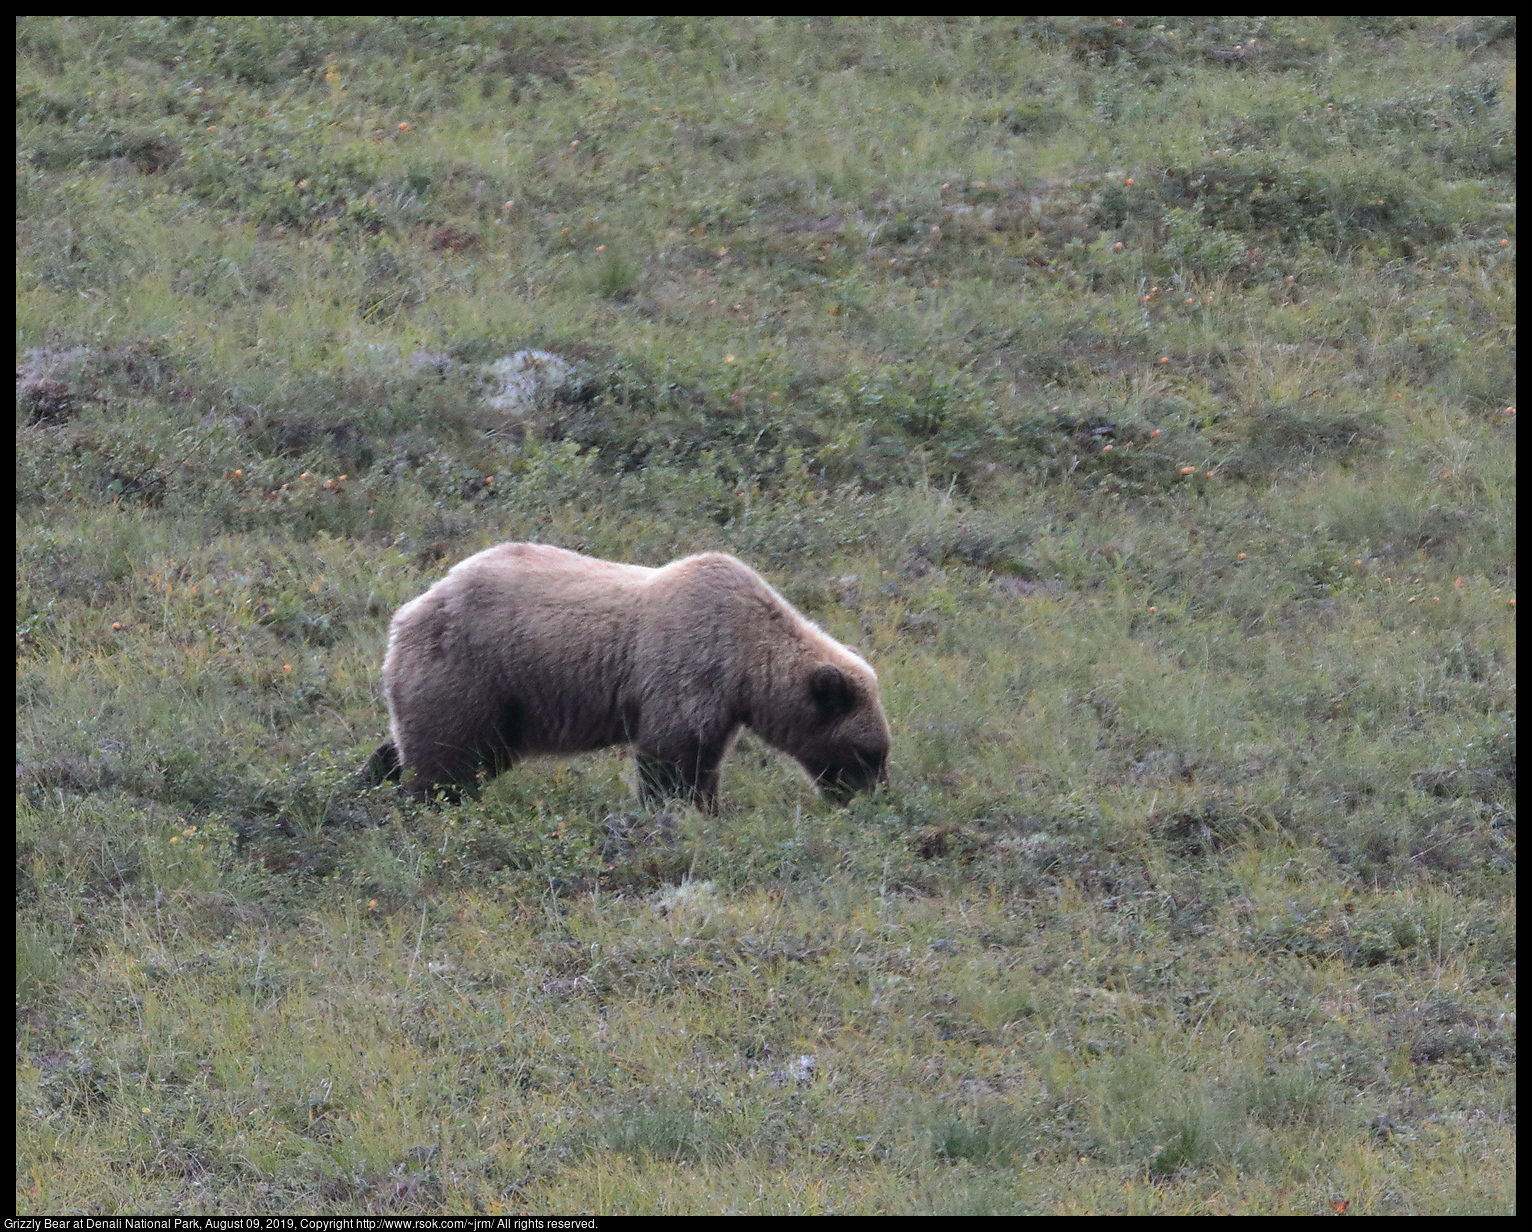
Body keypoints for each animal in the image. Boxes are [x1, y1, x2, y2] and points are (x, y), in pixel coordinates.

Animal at [370, 545, 894, 815]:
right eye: (868, 752)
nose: (873, 796)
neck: (745, 660)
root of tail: (410, 610)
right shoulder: (689, 666)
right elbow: (672, 755)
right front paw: (683, 809)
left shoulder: (721, 700)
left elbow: (702, 757)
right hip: (472, 670)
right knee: (448, 754)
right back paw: (430, 802)